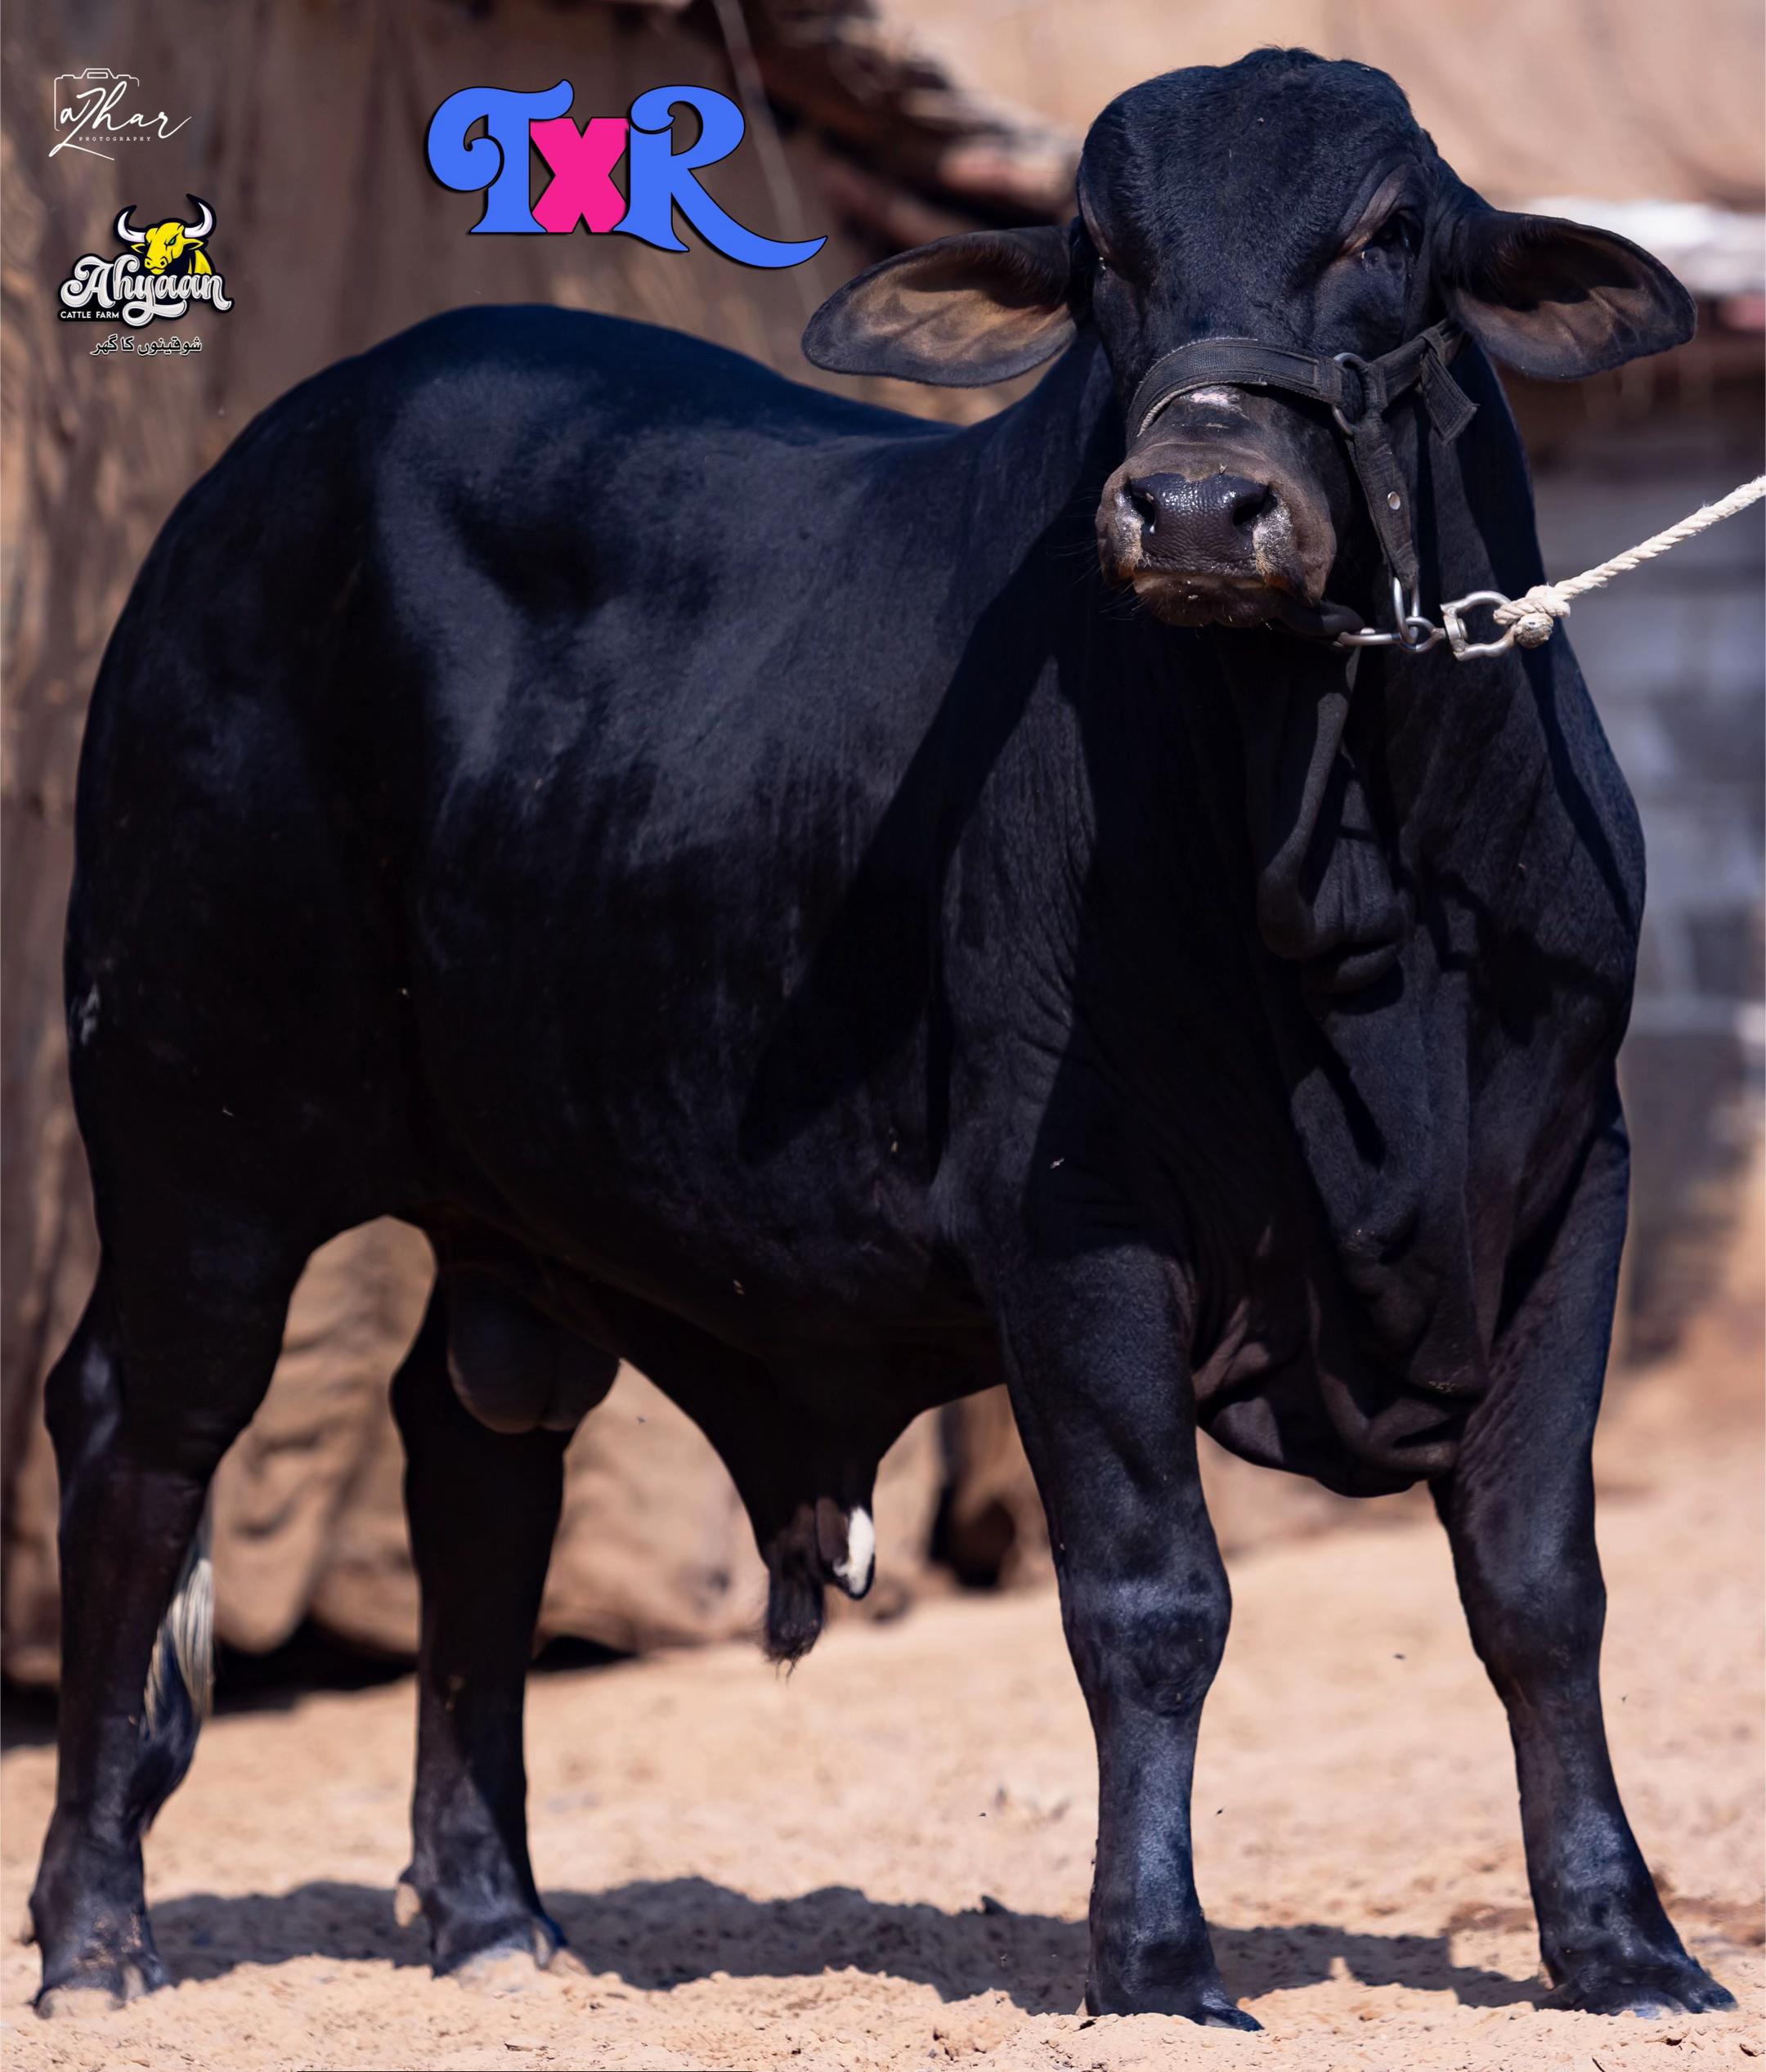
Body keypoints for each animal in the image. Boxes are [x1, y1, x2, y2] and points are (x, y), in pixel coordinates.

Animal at [29, 47, 1735, 2031]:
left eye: (1391, 231)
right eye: (1097, 254)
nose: (1198, 505)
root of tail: (242, 484)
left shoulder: (1565, 1184)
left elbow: (1542, 1587)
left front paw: (1626, 1942)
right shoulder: (1071, 1212)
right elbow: (1153, 1598)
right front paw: (1158, 1959)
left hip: (496, 1206)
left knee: (475, 1456)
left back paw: (495, 1916)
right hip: (194, 1126)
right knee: (143, 1435)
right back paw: (97, 1932)